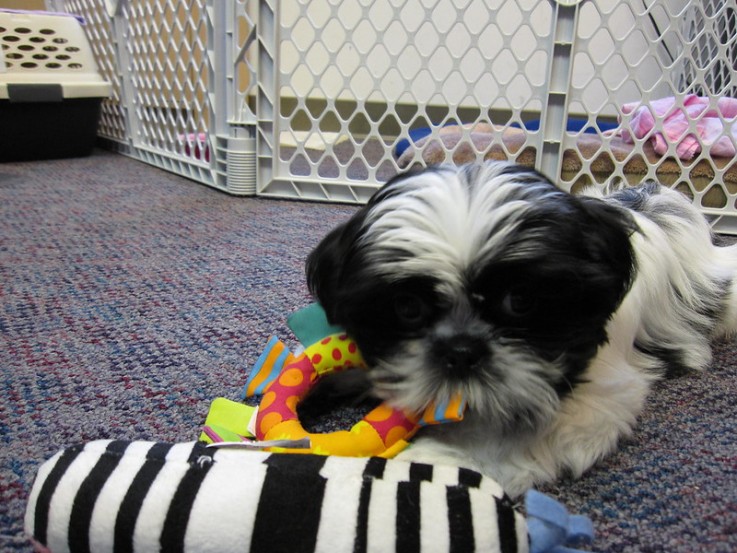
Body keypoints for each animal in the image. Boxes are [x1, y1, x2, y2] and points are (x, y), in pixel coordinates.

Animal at [302, 161, 732, 496]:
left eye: (521, 300)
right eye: (407, 307)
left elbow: (526, 432)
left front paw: (432, 462)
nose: (461, 350)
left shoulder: (602, 394)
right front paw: (322, 390)